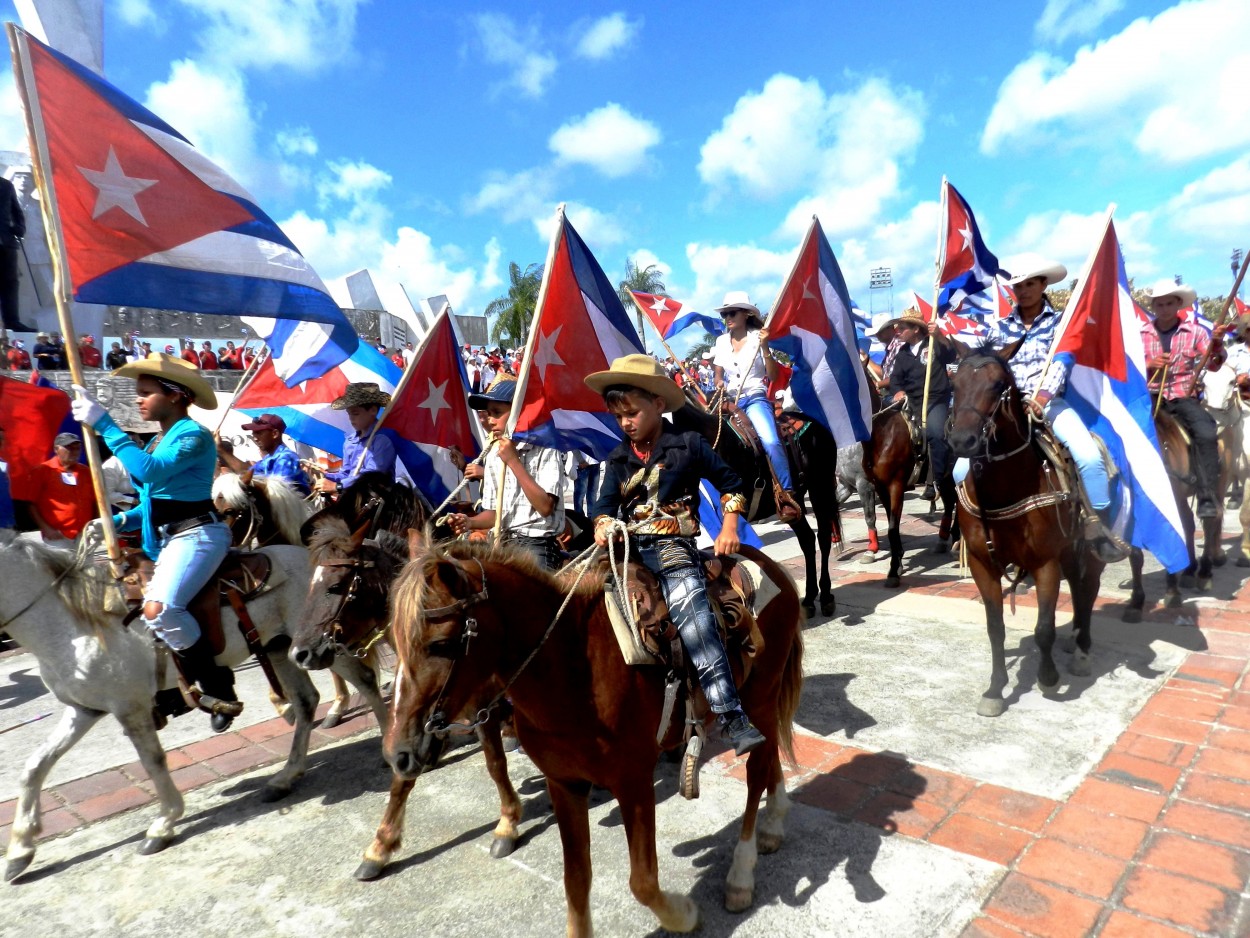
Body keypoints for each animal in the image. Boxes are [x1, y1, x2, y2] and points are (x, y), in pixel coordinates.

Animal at [1, 532, 385, 885]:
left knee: (365, 680)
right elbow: (35, 766)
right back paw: (285, 778)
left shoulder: (130, 707)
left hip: (322, 646)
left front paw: (164, 823)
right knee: (306, 702)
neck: (76, 623)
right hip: (283, 649)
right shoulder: (84, 709)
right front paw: (20, 849)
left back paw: (385, 745)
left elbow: (153, 762)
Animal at [288, 517, 522, 880]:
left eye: (336, 586)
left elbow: (495, 764)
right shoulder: (412, 722)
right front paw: (380, 846)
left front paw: (508, 823)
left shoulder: (478, 702)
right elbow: (402, 776)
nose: (299, 653)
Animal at [385, 532, 805, 935]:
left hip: (760, 698)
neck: (574, 668)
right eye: (394, 641)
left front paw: (683, 915)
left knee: (756, 771)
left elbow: (643, 882)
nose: (397, 754)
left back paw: (741, 873)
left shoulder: (633, 782)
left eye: (440, 644)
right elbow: (576, 880)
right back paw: (774, 822)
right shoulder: (564, 784)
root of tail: (769, 565)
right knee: (770, 753)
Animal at [945, 355, 1105, 715]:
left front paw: (1048, 678)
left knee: (1088, 589)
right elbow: (995, 628)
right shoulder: (983, 564)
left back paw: (1083, 651)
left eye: (996, 385)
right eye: (955, 383)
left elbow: (1044, 628)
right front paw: (995, 689)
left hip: (1087, 547)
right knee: (1079, 589)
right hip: (1068, 550)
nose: (962, 441)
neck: (1004, 489)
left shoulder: (1045, 562)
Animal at [1130, 410, 1225, 617]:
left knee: (1211, 522)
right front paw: (1135, 602)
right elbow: (1135, 554)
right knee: (1189, 524)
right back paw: (1189, 570)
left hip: (1215, 488)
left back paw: (1204, 572)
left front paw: (1172, 592)